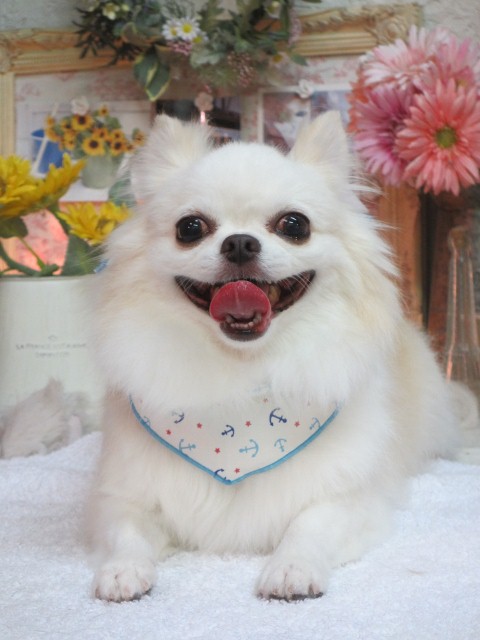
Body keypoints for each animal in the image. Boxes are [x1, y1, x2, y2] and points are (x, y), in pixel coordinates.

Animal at [87, 112, 457, 602]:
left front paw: (290, 568)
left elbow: (310, 524)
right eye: (190, 228)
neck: (243, 372)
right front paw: (123, 570)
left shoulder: (351, 497)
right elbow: (126, 531)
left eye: (294, 225)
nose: (240, 243)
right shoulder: (122, 496)